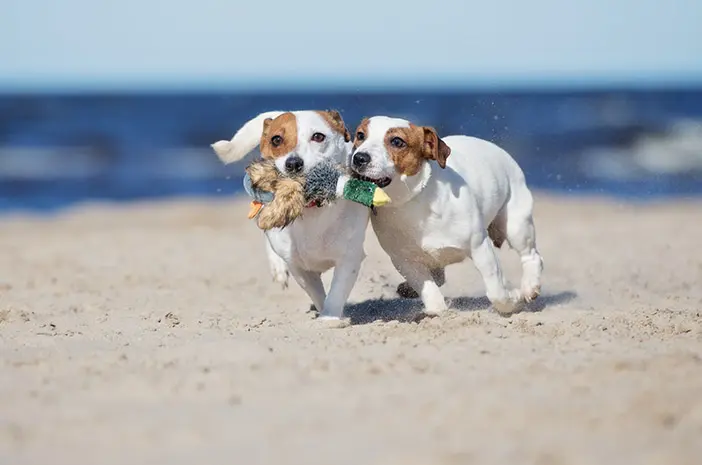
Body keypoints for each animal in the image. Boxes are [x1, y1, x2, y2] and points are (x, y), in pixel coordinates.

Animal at [212, 109, 372, 320]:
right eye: (276, 139)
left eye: (318, 136)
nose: (293, 163)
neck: (312, 208)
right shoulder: (298, 266)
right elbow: (316, 293)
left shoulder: (349, 258)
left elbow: (336, 293)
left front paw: (330, 318)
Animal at [350, 115, 544, 316]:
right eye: (360, 135)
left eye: (397, 141)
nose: (359, 158)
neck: (412, 201)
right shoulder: (404, 261)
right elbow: (429, 291)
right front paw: (437, 309)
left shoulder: (479, 247)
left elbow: (497, 291)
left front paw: (513, 301)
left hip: (516, 225)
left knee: (531, 256)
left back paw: (529, 286)